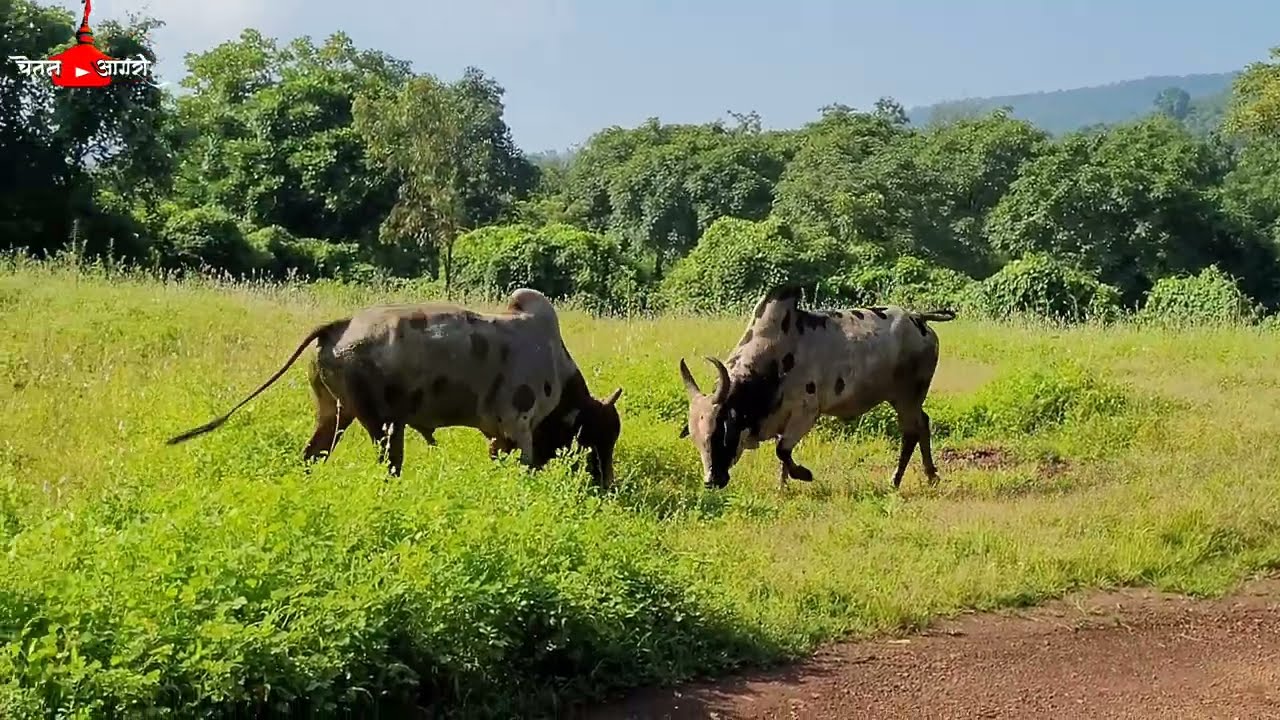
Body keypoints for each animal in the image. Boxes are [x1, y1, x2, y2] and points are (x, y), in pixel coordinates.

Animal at [166, 288, 624, 485]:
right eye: (596, 437)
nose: (606, 485)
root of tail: (340, 326)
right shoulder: (518, 427)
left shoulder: (501, 438)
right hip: (384, 424)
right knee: (389, 466)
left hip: (336, 414)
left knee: (313, 454)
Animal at [677, 285, 955, 490]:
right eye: (696, 438)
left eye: (718, 432)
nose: (711, 481)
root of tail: (918, 318)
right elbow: (782, 455)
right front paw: (783, 487)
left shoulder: (806, 412)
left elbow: (782, 451)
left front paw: (804, 474)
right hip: (905, 399)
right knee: (922, 424)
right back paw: (929, 476)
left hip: (908, 397)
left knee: (911, 432)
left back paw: (898, 481)